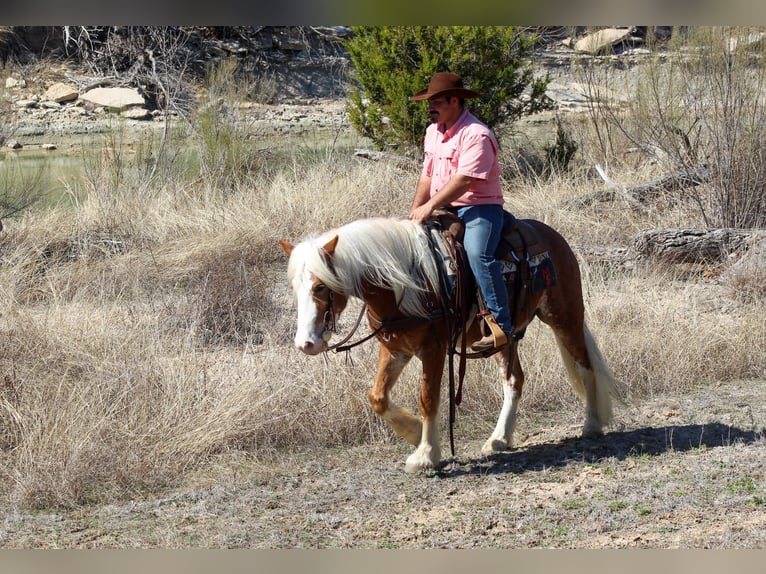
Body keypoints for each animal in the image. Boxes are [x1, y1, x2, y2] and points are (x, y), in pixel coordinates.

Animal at [280, 214, 628, 474]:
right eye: (294, 286)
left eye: (321, 287)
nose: (306, 343)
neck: (404, 284)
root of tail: (553, 236)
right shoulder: (395, 349)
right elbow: (377, 397)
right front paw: (413, 433)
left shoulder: (433, 351)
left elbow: (429, 400)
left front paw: (425, 454)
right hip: (505, 338)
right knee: (514, 379)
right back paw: (499, 439)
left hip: (565, 317)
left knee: (584, 366)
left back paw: (592, 423)